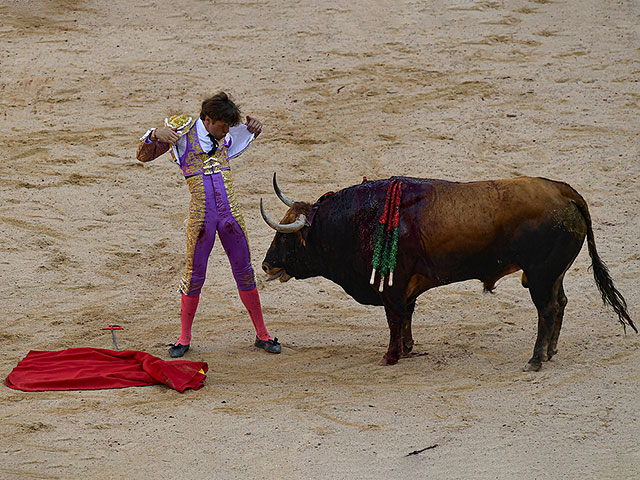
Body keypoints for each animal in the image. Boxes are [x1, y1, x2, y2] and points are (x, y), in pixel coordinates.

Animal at [260, 173, 636, 372]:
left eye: (285, 236)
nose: (265, 265)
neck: (356, 221)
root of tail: (564, 191)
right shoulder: (405, 287)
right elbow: (407, 315)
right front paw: (408, 348)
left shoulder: (391, 287)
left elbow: (394, 319)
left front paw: (391, 356)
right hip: (553, 275)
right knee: (561, 305)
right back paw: (552, 352)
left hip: (541, 276)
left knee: (547, 310)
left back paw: (536, 359)